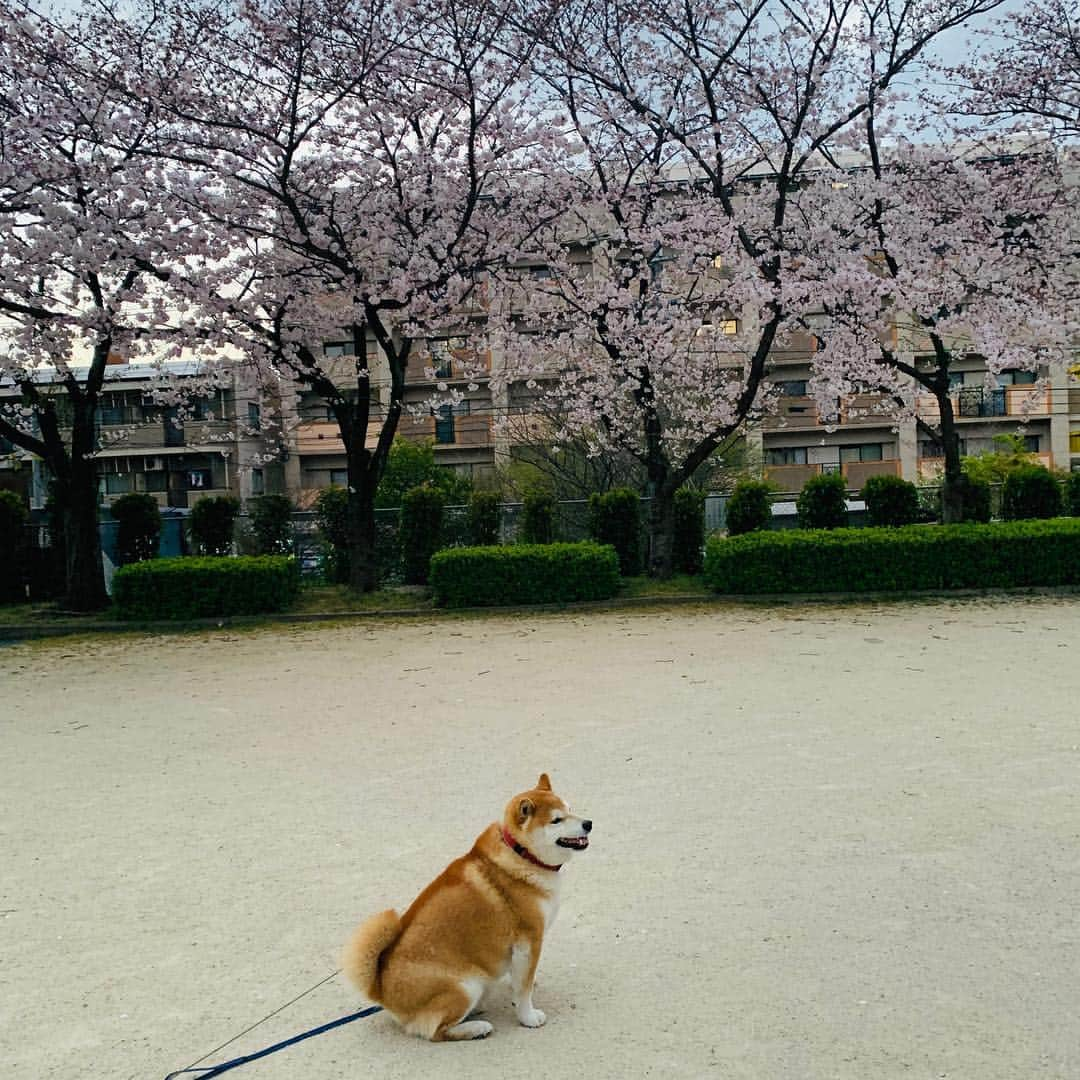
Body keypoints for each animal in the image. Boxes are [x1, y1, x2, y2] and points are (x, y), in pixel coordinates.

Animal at [341, 777, 591, 1036]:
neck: (521, 855)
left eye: (570, 809)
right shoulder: (529, 940)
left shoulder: (522, 950)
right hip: (465, 987)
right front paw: (528, 1017)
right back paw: (477, 1028)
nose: (588, 823)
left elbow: (521, 979)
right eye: (556, 820)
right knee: (437, 1032)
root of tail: (380, 990)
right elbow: (524, 990)